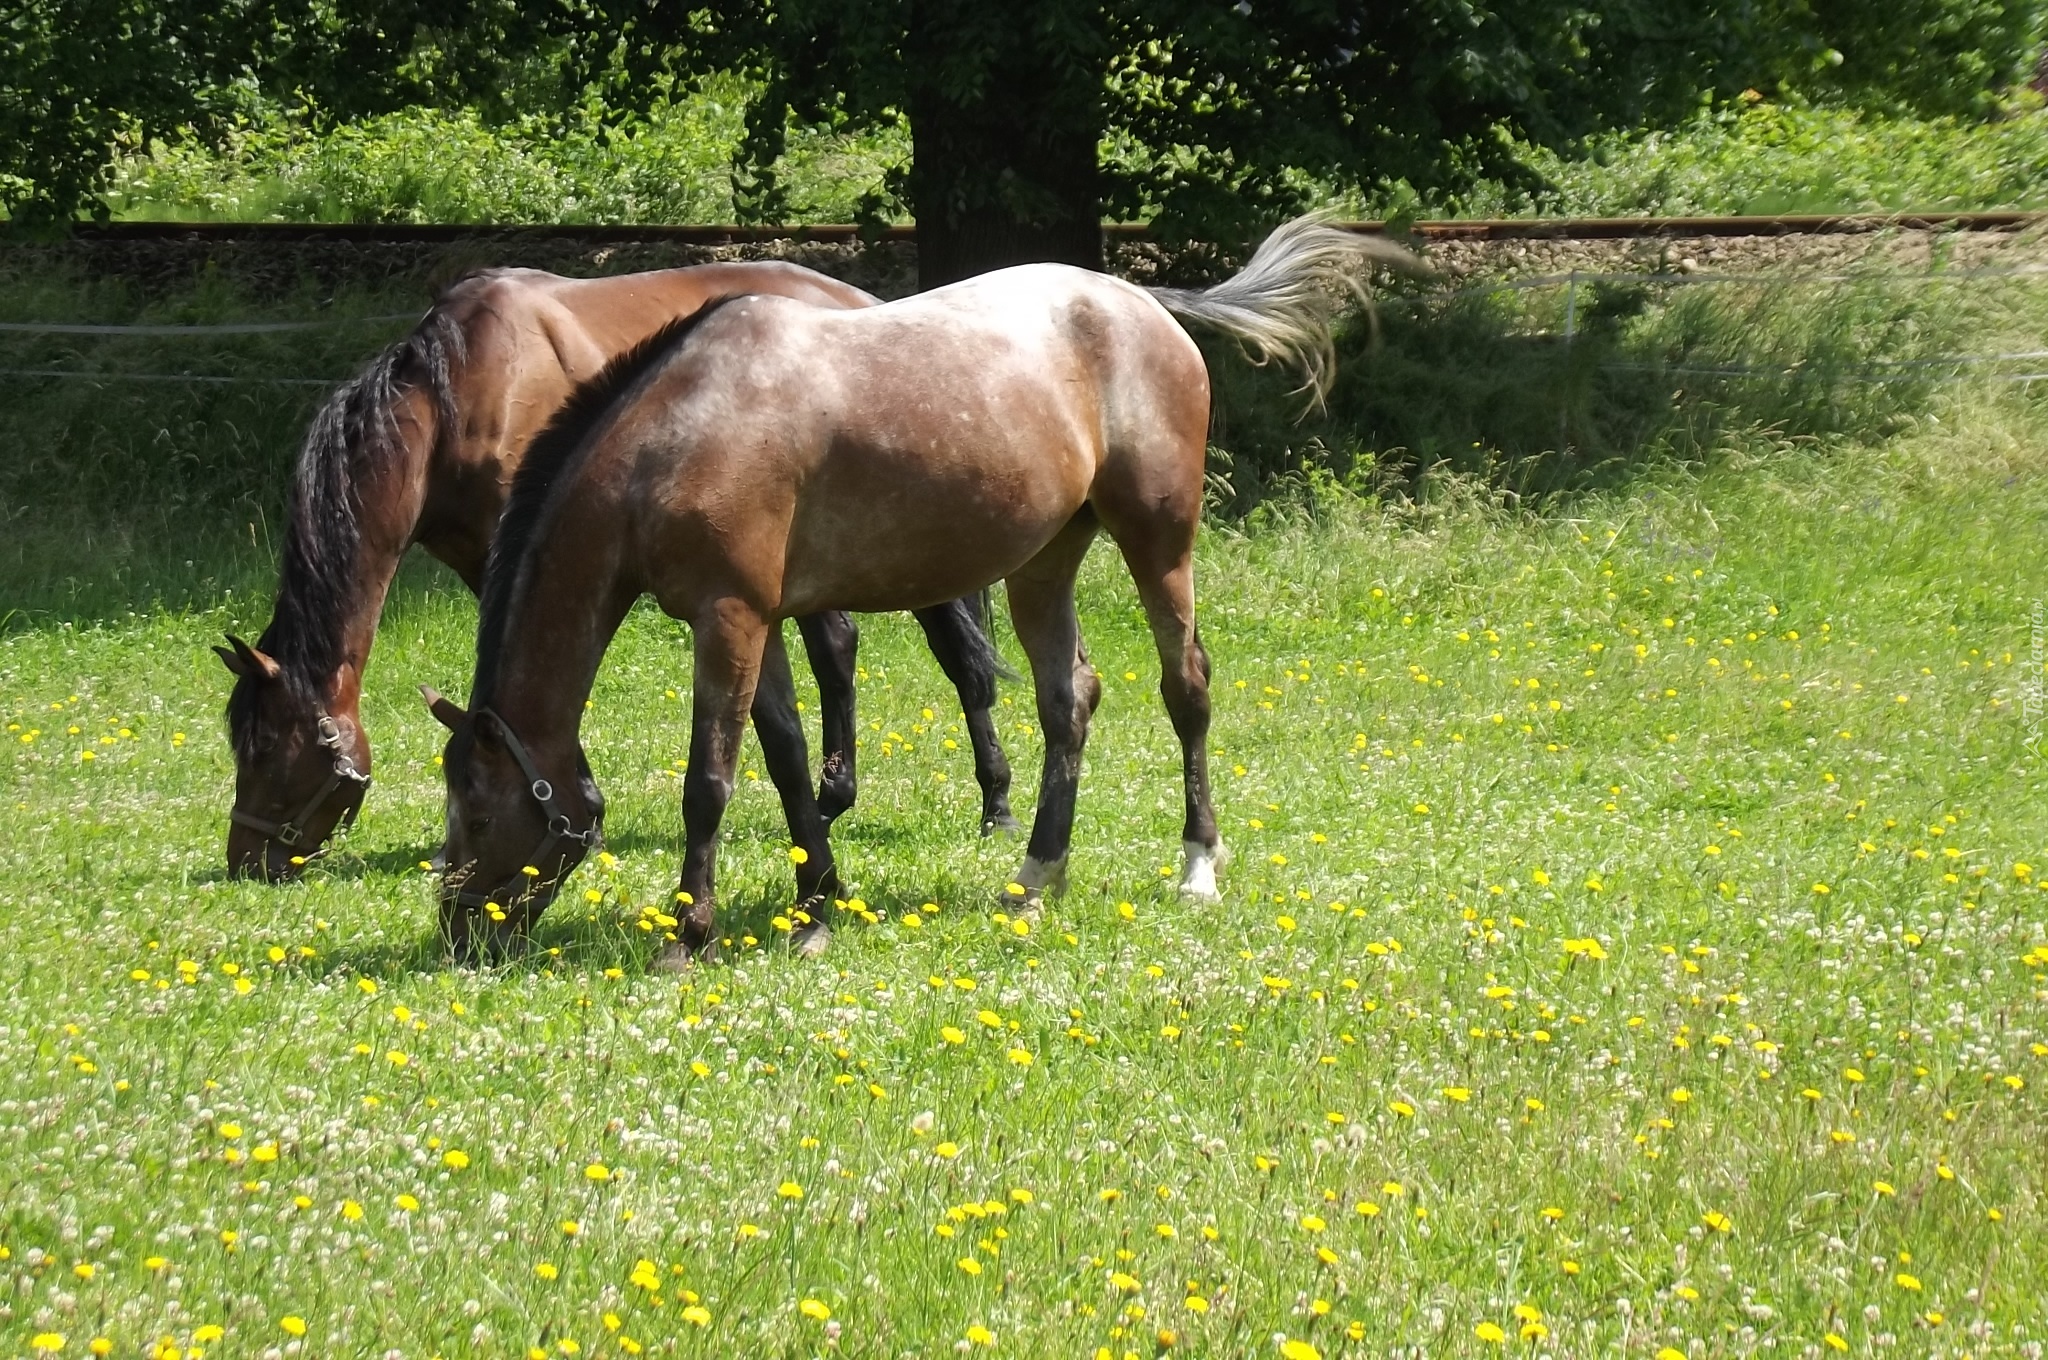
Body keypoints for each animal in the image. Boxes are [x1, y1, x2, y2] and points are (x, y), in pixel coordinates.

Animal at [217, 262, 1017, 881]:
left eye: (266, 748)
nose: (245, 860)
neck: (462, 393)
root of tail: (864, 301)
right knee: (839, 648)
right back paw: (832, 799)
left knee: (957, 660)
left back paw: (996, 803)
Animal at [428, 216, 1413, 964]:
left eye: (476, 808)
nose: (459, 934)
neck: (680, 430)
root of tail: (1142, 302)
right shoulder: (759, 619)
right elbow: (787, 761)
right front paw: (816, 905)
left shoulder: (728, 617)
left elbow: (709, 779)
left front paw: (688, 931)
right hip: (1043, 561)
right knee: (1068, 702)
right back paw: (1036, 877)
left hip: (1158, 540)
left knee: (1188, 688)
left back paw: (1197, 867)